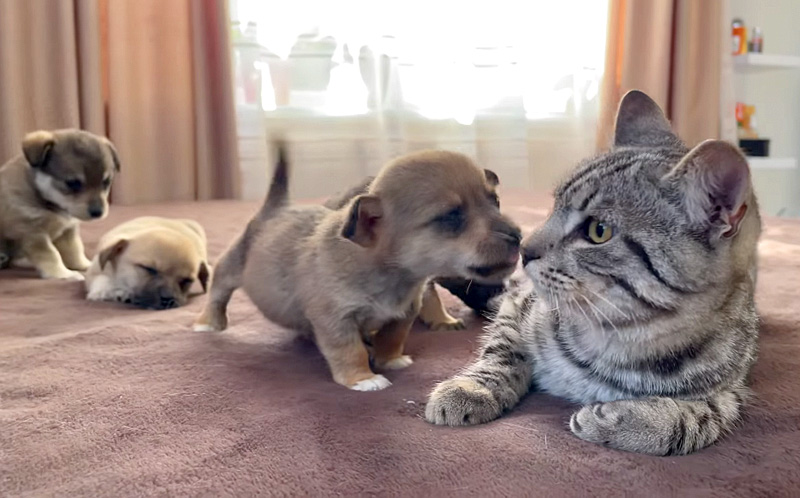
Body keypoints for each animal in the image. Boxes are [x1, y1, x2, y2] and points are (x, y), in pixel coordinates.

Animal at [0, 129, 120, 280]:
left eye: (106, 182)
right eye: (73, 183)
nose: (98, 212)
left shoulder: (68, 230)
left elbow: (75, 250)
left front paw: (84, 265)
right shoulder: (33, 233)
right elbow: (52, 255)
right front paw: (63, 274)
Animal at [193, 146, 520, 392]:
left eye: (495, 201)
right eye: (451, 216)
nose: (518, 236)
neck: (390, 274)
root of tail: (276, 208)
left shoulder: (403, 313)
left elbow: (392, 337)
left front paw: (390, 359)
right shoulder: (335, 321)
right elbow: (349, 351)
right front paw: (362, 379)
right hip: (230, 267)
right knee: (218, 292)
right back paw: (209, 323)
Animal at [424, 89, 764, 456]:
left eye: (598, 231)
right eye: (553, 206)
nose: (524, 248)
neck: (620, 338)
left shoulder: (729, 395)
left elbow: (688, 422)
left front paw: (624, 419)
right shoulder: (519, 305)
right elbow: (501, 350)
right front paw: (473, 389)